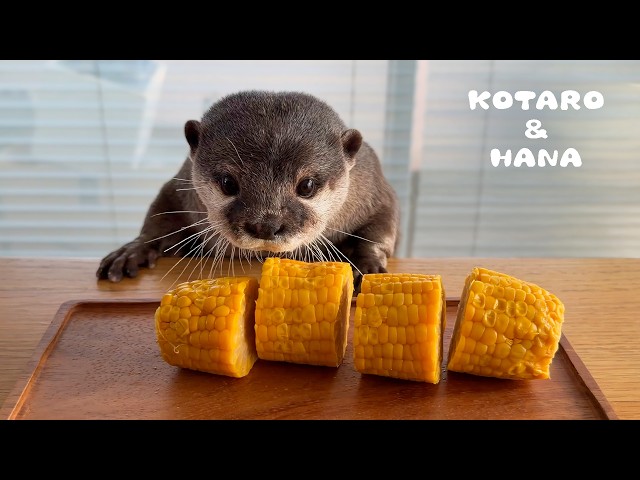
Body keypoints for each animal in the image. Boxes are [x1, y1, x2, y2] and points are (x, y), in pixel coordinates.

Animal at [96, 90, 400, 289]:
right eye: (228, 183)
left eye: (307, 186)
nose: (265, 225)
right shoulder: (181, 184)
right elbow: (159, 215)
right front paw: (132, 250)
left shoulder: (373, 186)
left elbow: (382, 223)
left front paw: (365, 264)